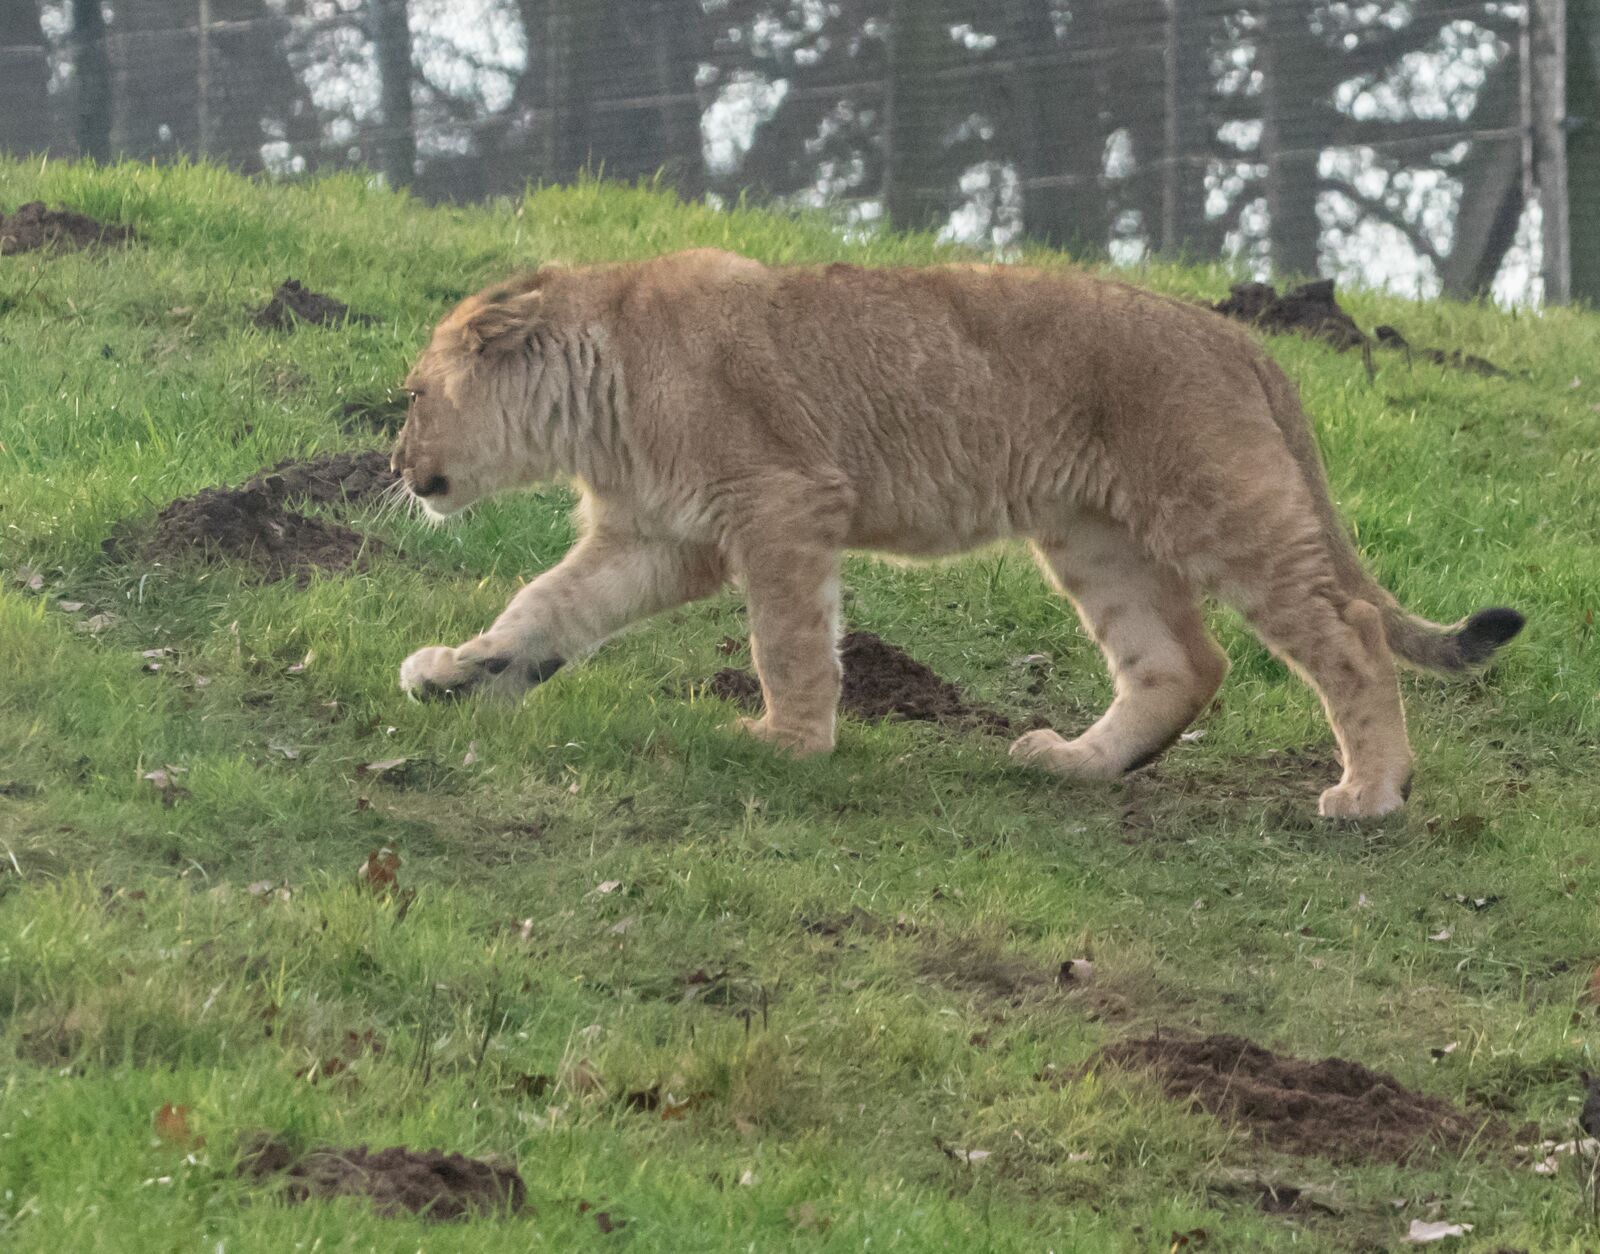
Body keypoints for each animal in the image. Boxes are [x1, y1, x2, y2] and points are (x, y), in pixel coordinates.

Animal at [390, 249, 1522, 819]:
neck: (600, 386)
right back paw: (1079, 764)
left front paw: (789, 743)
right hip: (1094, 535)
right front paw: (459, 673)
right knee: (1182, 664)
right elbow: (547, 605)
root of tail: (1239, 339)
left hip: (1218, 508)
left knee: (1348, 634)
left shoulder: (783, 500)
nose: (396, 465)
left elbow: (788, 639)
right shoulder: (663, 536)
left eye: (411, 394)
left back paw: (1373, 792)